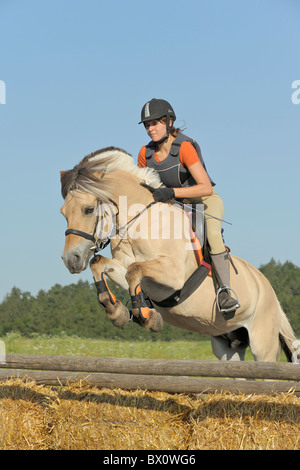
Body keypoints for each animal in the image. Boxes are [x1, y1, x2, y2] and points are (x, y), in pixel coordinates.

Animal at [60, 147, 298, 364]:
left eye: (88, 209)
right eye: (63, 213)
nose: (71, 259)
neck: (140, 223)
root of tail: (268, 289)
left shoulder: (173, 276)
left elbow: (134, 270)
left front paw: (146, 316)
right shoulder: (125, 267)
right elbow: (101, 264)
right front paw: (117, 311)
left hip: (262, 345)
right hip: (227, 345)